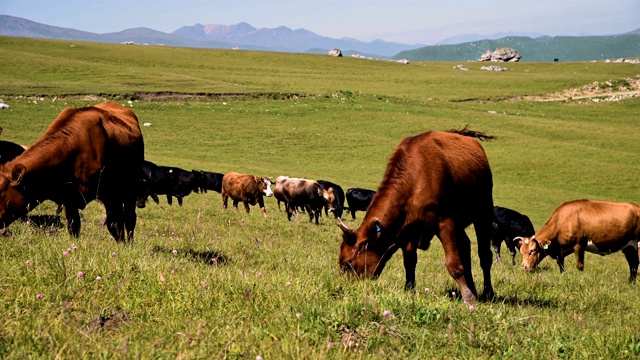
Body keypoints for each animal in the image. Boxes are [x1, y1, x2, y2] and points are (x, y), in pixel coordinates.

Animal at [0, 101, 144, 242]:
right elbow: (73, 228)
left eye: (1, 192)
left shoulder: (109, 194)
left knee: (130, 218)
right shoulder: (69, 198)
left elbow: (115, 226)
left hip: (130, 187)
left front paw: (122, 246)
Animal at [338, 128, 498, 302]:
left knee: (485, 256)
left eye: (347, 263)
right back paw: (473, 288)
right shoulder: (409, 229)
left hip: (483, 212)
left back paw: (487, 292)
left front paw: (468, 297)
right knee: (465, 247)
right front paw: (409, 290)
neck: (415, 179)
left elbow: (453, 263)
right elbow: (409, 262)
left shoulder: (444, 222)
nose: (342, 288)